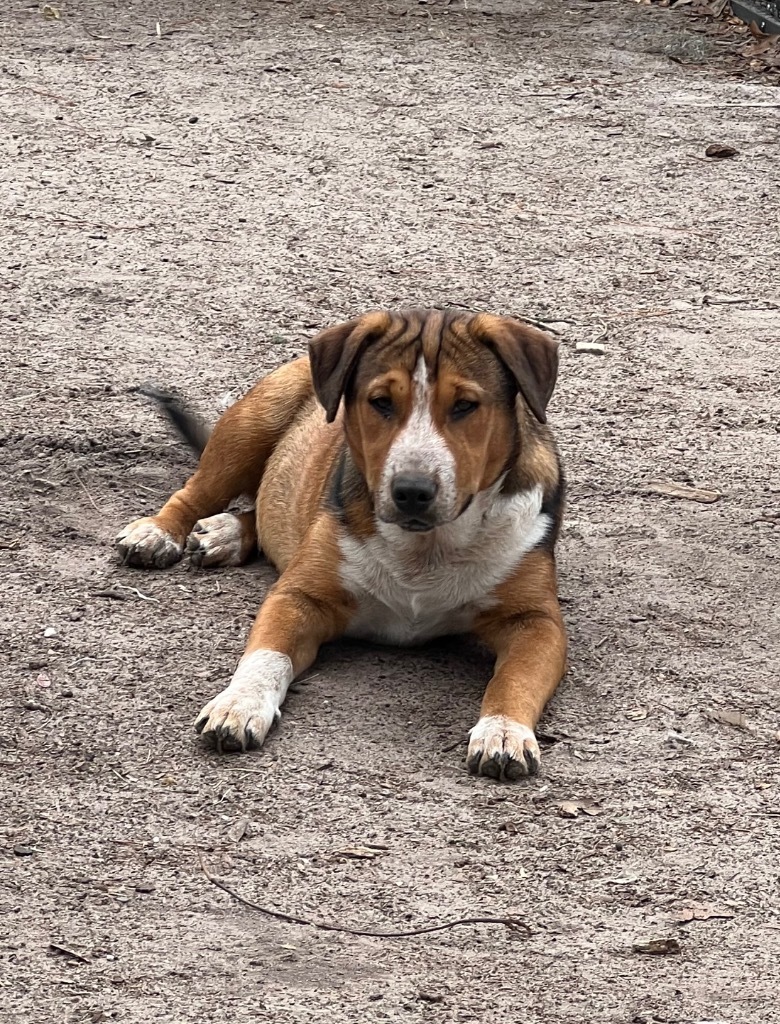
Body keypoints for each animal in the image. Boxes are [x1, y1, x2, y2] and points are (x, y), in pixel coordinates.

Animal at [115, 307, 565, 778]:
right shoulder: (300, 596)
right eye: (381, 401)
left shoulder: (534, 622)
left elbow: (513, 678)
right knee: (198, 491)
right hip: (252, 423)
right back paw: (160, 532)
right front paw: (238, 704)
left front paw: (503, 731)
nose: (412, 491)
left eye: (465, 405)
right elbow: (266, 656)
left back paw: (228, 534)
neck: (426, 547)